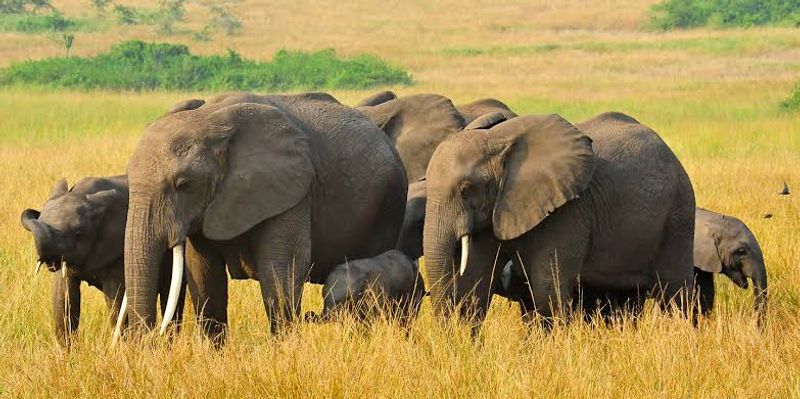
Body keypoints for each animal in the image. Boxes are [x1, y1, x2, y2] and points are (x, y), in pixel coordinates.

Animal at [122, 91, 410, 344]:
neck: (211, 118)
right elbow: (204, 275)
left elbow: (281, 270)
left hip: (388, 205)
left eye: (183, 184)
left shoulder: (292, 189)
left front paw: (285, 353)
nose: (148, 344)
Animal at [422, 112, 696, 332]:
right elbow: (475, 283)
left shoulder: (568, 210)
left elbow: (548, 292)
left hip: (678, 214)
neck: (497, 140)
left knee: (676, 293)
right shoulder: (495, 209)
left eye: (466, 189)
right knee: (626, 300)